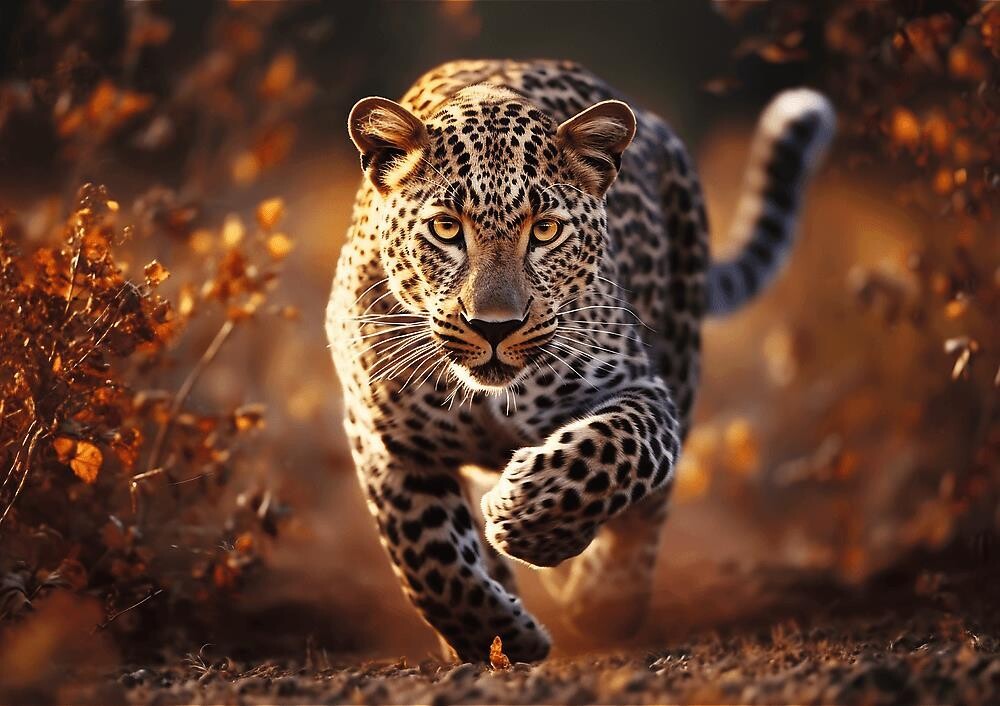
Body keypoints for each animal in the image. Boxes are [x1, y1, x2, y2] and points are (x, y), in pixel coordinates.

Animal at [326, 59, 834, 663]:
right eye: (446, 228)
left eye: (545, 230)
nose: (494, 326)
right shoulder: (384, 439)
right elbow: (428, 557)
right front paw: (498, 636)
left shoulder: (642, 390)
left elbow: (614, 451)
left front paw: (529, 517)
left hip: (682, 350)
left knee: (647, 512)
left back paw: (605, 599)